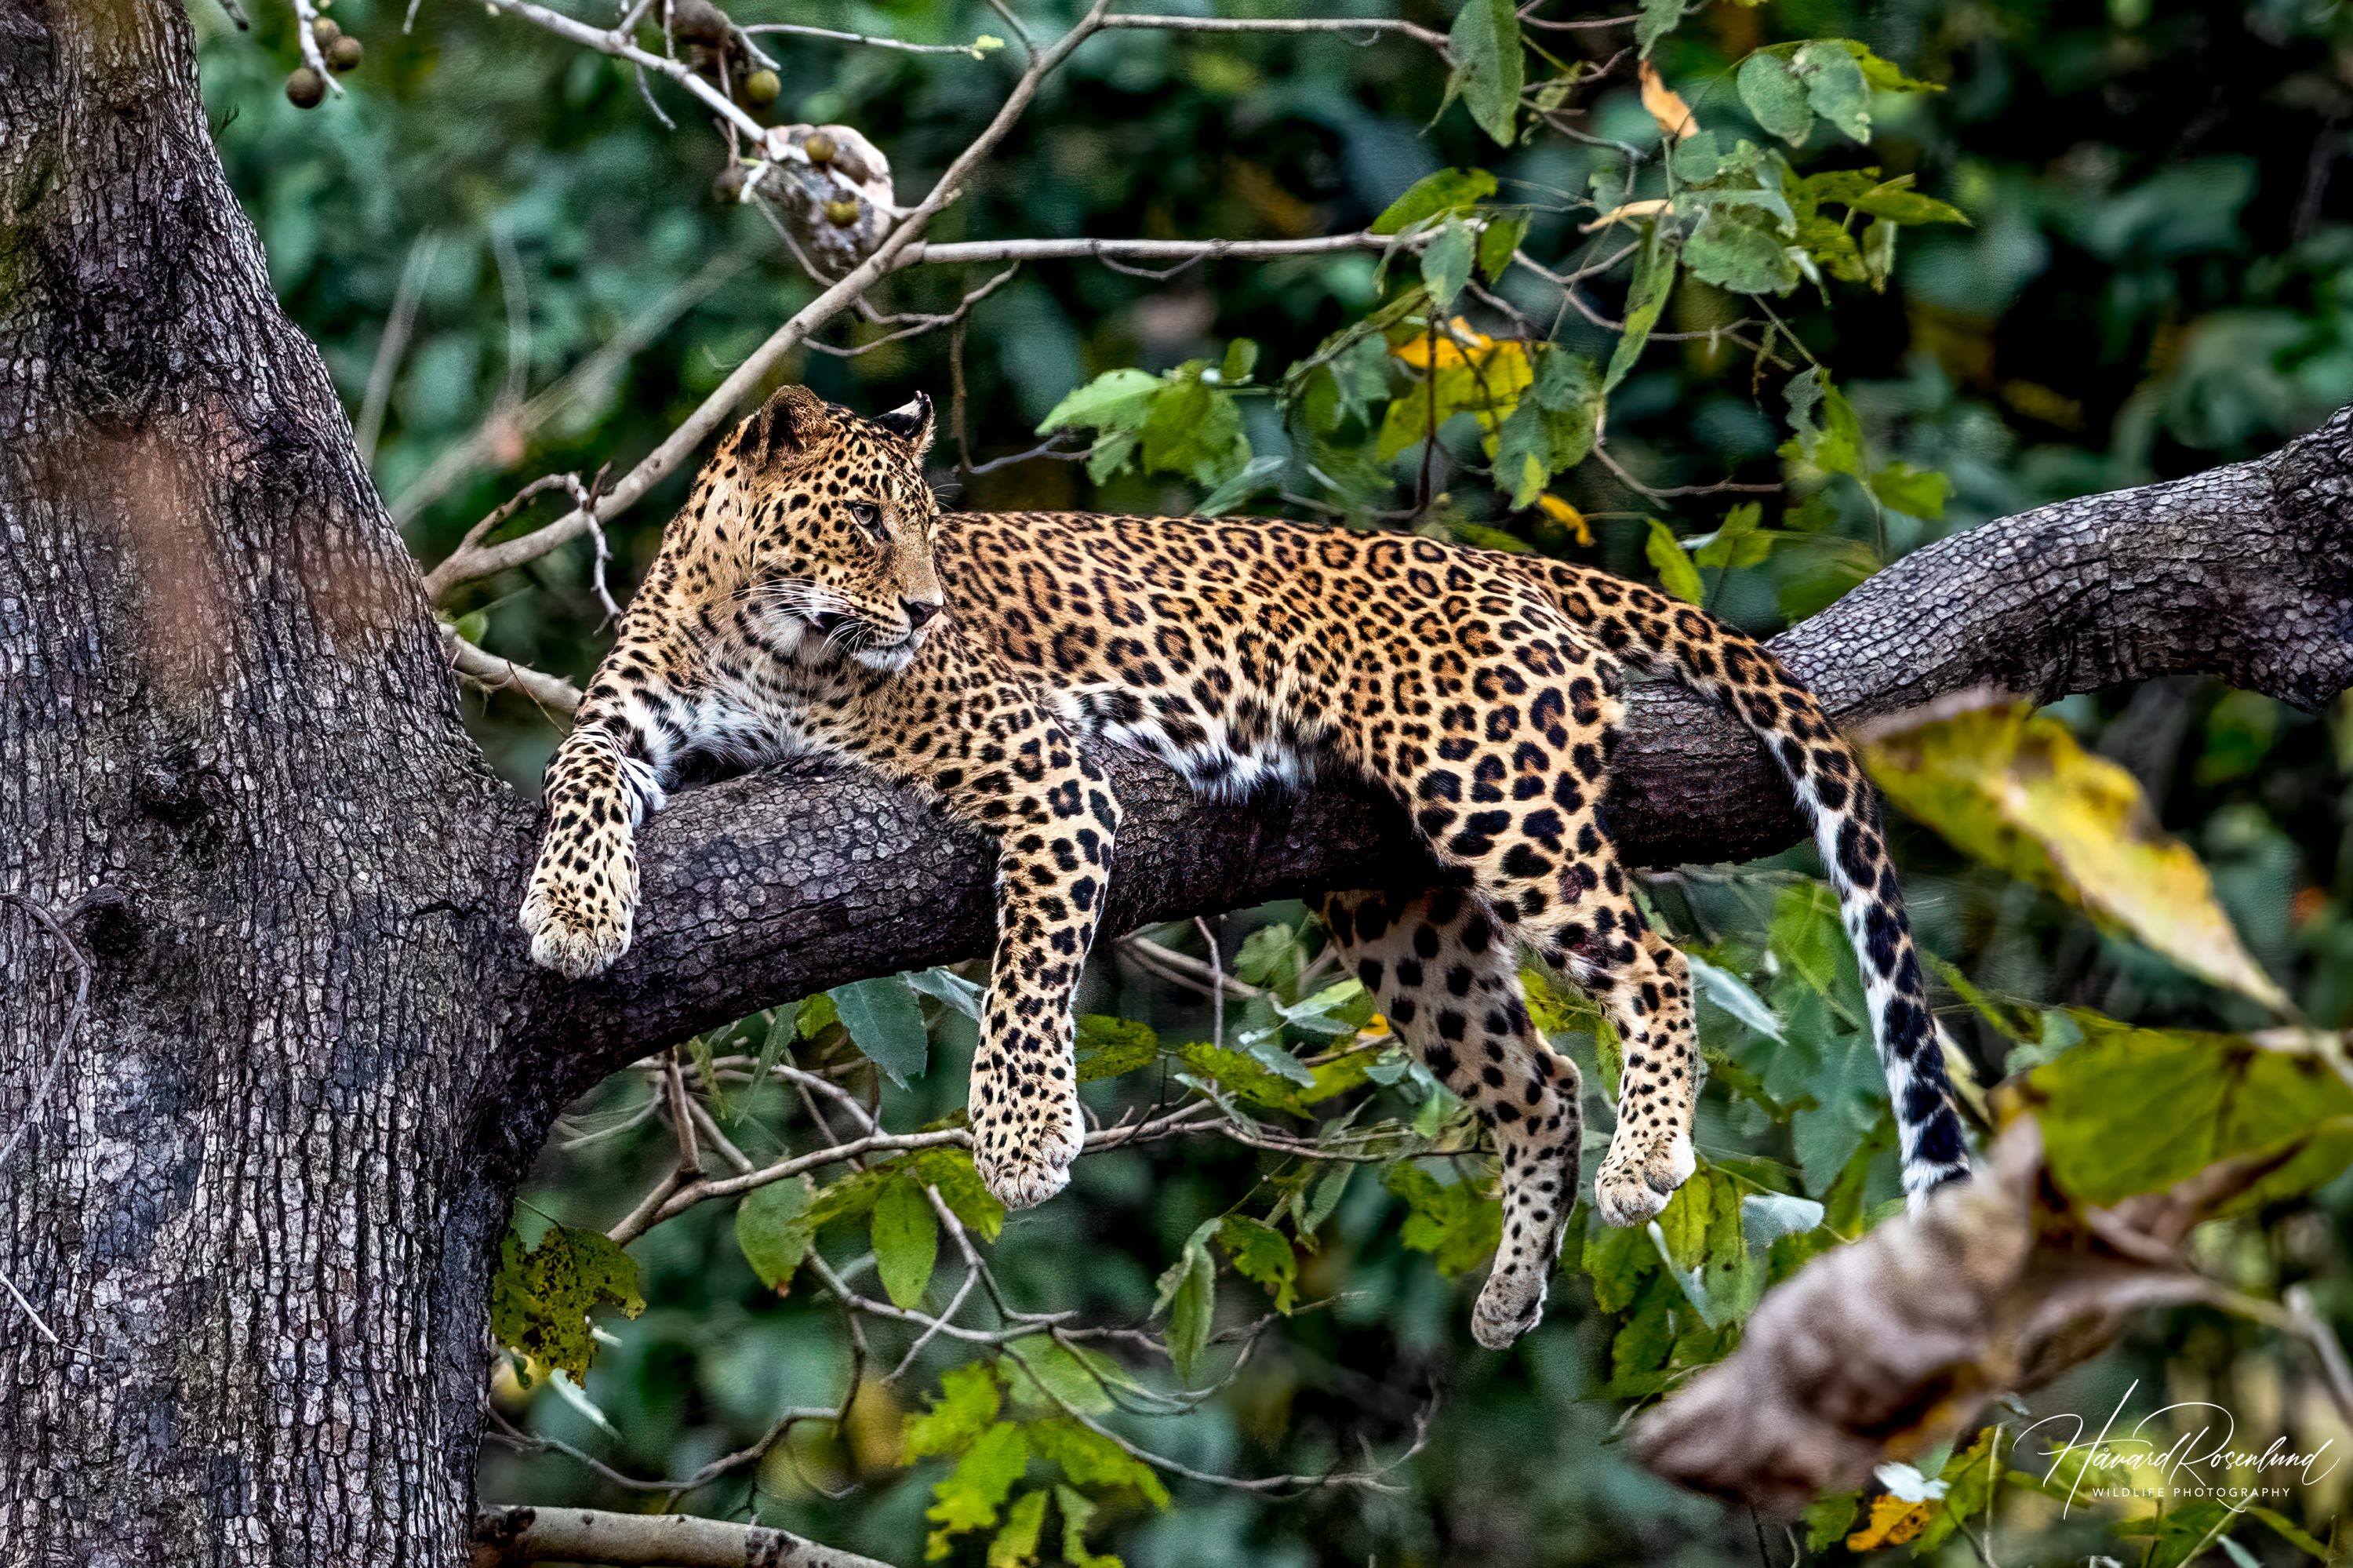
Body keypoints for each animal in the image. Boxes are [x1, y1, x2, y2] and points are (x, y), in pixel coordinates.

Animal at [519, 384, 1971, 1349]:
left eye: (928, 525)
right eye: (869, 520)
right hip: (1400, 906)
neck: (754, 625)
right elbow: (576, 780)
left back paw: (1647, 1159)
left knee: (1655, 964)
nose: (928, 607)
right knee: (1541, 1077)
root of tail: (1482, 557)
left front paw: (1022, 1133)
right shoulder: (626, 719)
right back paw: (1511, 1288)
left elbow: (1030, 961)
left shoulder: (1046, 761)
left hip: (1490, 788)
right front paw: (573, 909)